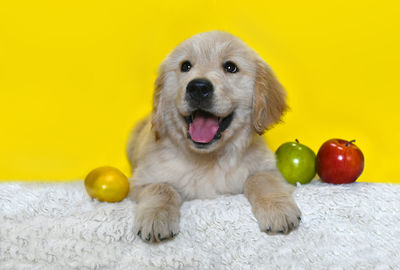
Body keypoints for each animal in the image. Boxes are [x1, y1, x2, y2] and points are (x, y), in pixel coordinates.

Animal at [127, 30, 300, 242]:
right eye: (185, 66)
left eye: (230, 67)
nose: (198, 87)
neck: (208, 159)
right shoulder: (140, 181)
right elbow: (161, 188)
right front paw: (156, 217)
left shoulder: (268, 168)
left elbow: (261, 179)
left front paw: (278, 210)